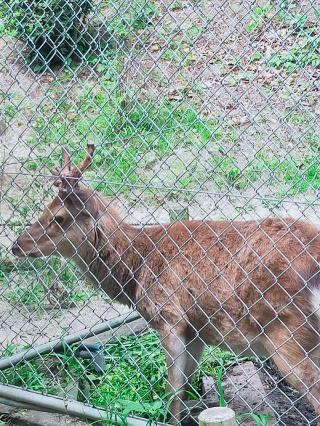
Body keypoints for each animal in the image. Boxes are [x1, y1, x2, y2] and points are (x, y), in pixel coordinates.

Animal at [11, 145, 320, 424]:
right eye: (44, 208)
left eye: (59, 217)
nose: (16, 245)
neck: (136, 271)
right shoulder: (196, 331)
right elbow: (186, 388)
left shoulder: (169, 316)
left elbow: (173, 392)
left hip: (287, 334)